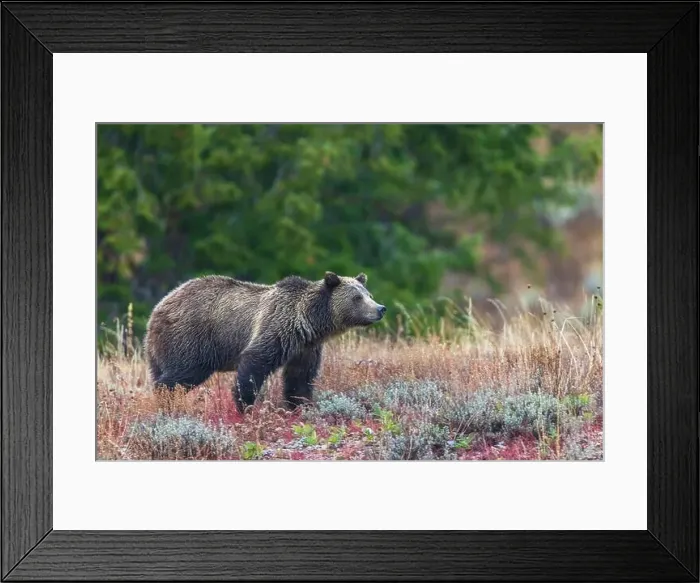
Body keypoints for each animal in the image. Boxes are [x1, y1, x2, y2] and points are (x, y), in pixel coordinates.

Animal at [144, 271, 386, 413]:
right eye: (357, 298)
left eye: (369, 294)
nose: (380, 309)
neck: (309, 322)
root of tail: (159, 307)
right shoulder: (277, 328)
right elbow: (255, 363)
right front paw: (246, 406)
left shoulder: (305, 348)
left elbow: (300, 377)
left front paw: (302, 405)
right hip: (192, 339)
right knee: (183, 373)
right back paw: (166, 401)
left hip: (160, 349)